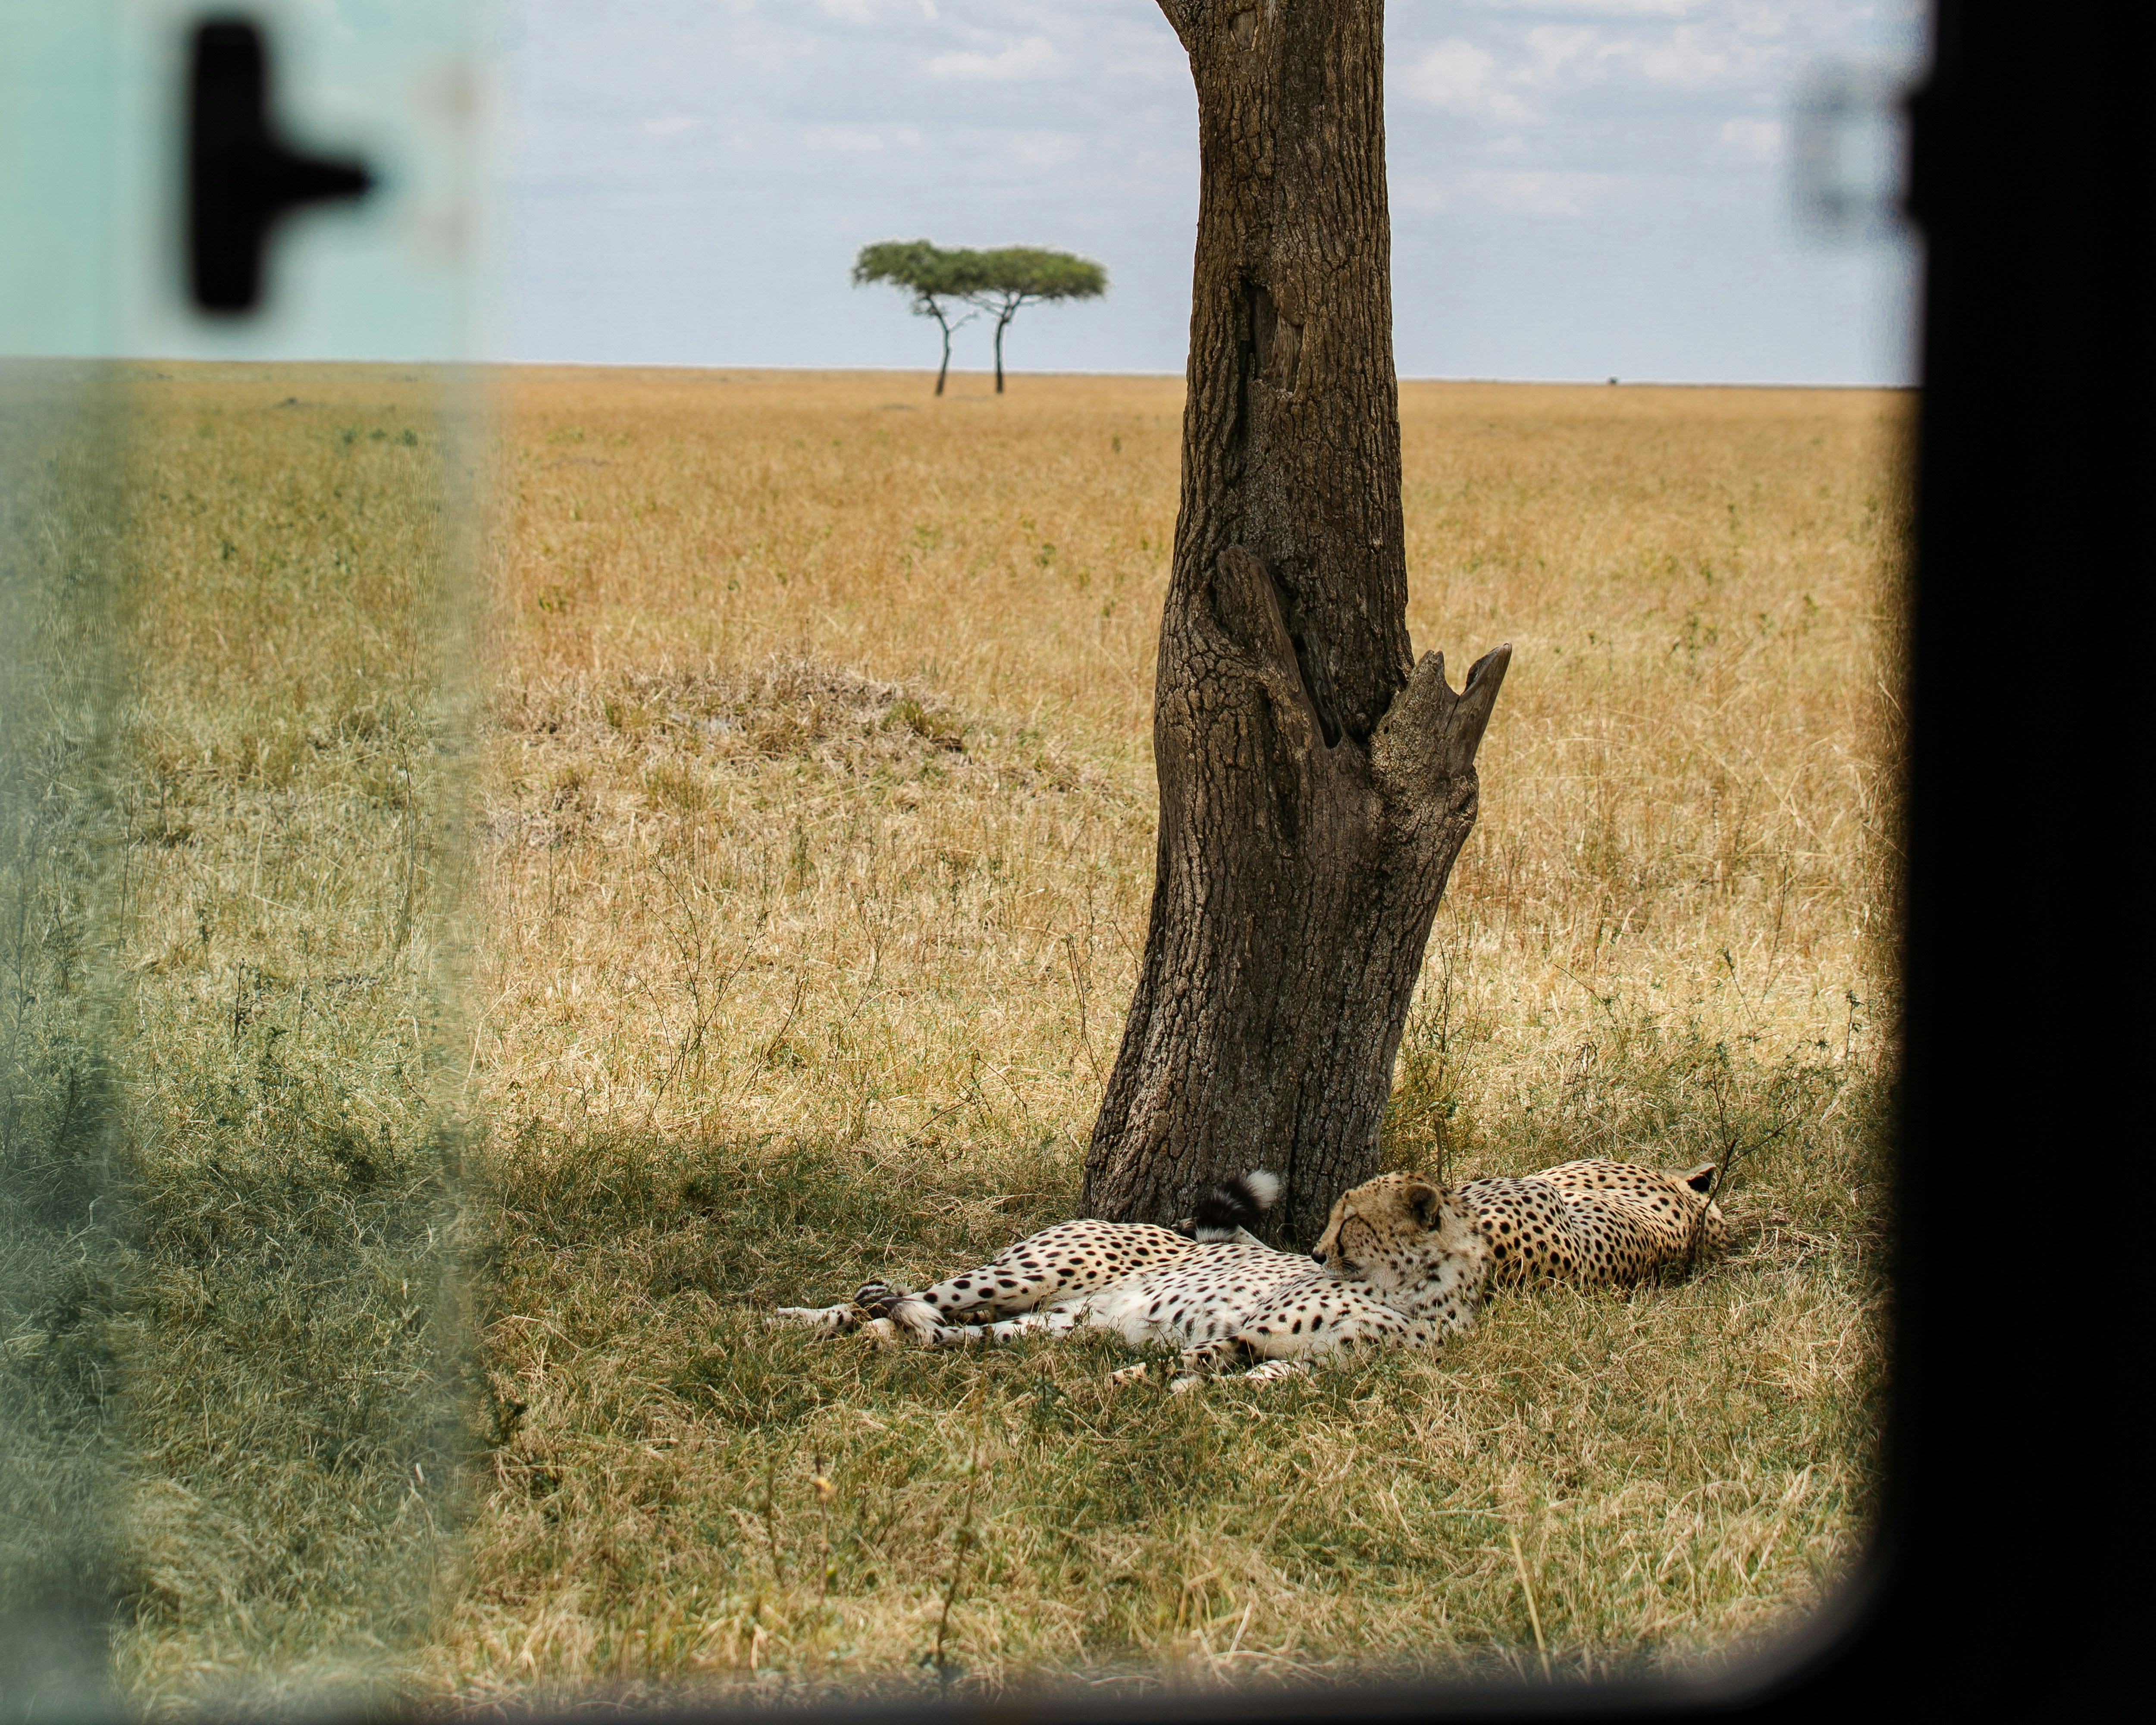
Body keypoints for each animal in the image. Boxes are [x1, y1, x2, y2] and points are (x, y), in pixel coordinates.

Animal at [769, 1168, 1491, 1391]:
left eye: (1353, 1221)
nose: (1314, 1253)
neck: (1411, 1290)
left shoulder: (1313, 1362)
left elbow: (1260, 1377)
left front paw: (1202, 1391)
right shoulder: (1249, 1329)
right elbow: (1188, 1359)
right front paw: (1126, 1386)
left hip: (1051, 1324)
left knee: (943, 1330)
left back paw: (897, 1336)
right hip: (1026, 1275)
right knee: (898, 1297)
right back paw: (800, 1320)